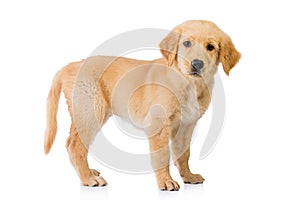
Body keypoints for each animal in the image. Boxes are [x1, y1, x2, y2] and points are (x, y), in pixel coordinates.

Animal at [44, 19, 240, 191]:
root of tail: (69, 66)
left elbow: (183, 154)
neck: (188, 83)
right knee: (74, 145)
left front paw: (188, 176)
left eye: (210, 47)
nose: (197, 64)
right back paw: (88, 178)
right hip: (90, 112)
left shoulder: (186, 125)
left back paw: (88, 172)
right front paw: (166, 181)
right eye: (186, 43)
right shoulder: (159, 125)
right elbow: (162, 155)